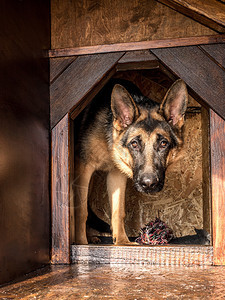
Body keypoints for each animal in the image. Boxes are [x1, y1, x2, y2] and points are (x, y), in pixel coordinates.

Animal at [74, 78, 188, 245]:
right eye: (134, 144)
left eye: (163, 144)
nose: (149, 184)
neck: (110, 146)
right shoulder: (84, 168)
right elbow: (81, 211)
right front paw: (80, 243)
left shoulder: (116, 175)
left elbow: (118, 211)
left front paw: (122, 242)